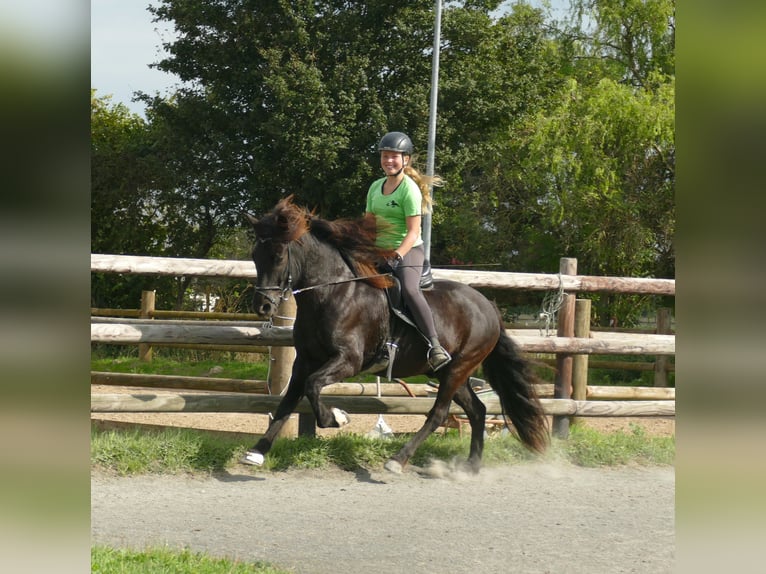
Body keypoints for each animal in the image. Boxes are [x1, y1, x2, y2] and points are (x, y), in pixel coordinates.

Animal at [243, 196, 548, 474]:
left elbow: (312, 386)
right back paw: (471, 465)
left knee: (439, 414)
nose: (263, 306)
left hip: (459, 367)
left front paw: (338, 418)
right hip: (450, 373)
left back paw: (398, 460)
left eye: (278, 256)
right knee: (478, 410)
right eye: (255, 256)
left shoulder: (348, 360)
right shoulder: (305, 360)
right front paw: (256, 452)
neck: (332, 293)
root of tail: (488, 306)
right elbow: (288, 401)